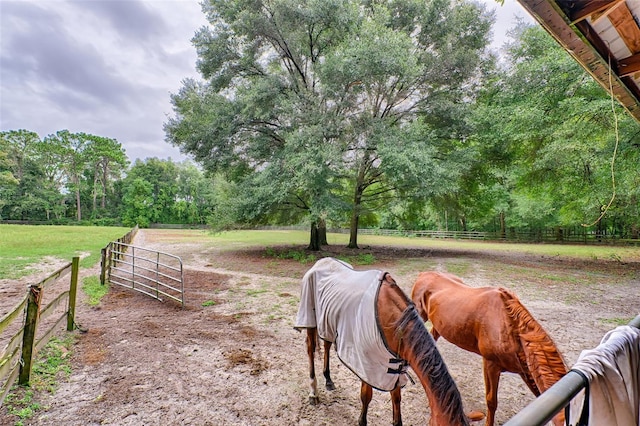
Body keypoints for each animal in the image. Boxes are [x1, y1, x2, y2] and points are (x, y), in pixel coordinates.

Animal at [296, 256, 470, 426]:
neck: (393, 322)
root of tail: (320, 262)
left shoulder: (395, 367)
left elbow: (397, 400)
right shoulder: (367, 367)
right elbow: (366, 397)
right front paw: (361, 421)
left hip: (328, 322)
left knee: (326, 344)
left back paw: (328, 380)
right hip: (310, 318)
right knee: (310, 349)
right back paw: (313, 393)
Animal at [412, 272, 568, 426]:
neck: (509, 326)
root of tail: (424, 274)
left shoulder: (524, 370)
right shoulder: (490, 364)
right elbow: (491, 401)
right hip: (420, 315)